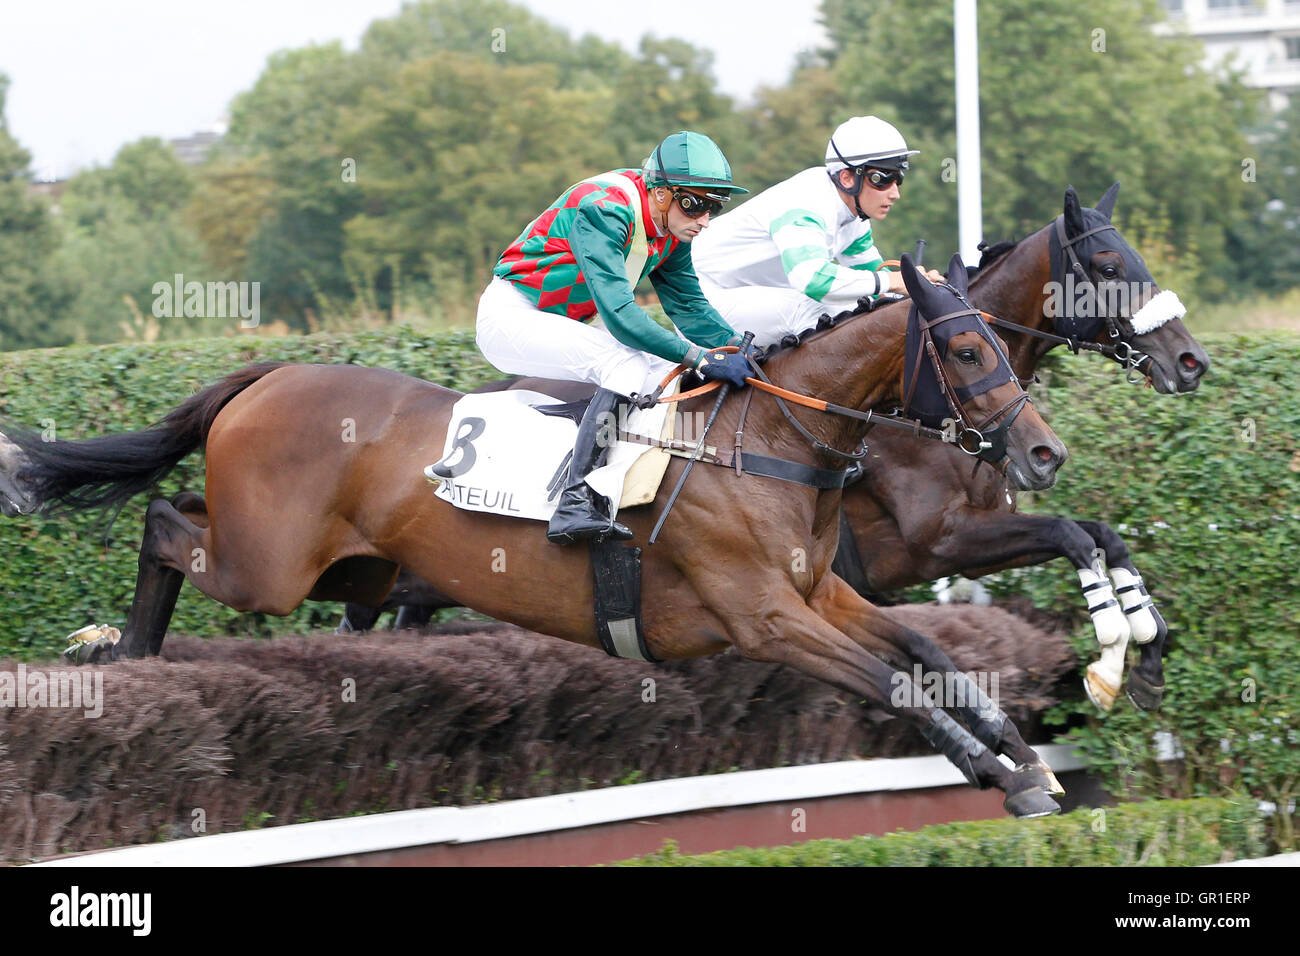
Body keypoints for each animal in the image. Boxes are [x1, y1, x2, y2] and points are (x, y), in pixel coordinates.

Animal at [7, 254, 1066, 816]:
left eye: (996, 339)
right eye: (966, 348)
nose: (1046, 454)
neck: (764, 443)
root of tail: (269, 374)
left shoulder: (821, 593)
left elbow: (935, 653)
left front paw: (1028, 759)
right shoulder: (764, 619)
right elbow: (894, 682)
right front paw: (998, 777)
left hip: (348, 567)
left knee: (186, 518)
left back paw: (126, 652)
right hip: (268, 567)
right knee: (162, 521)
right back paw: (121, 650)